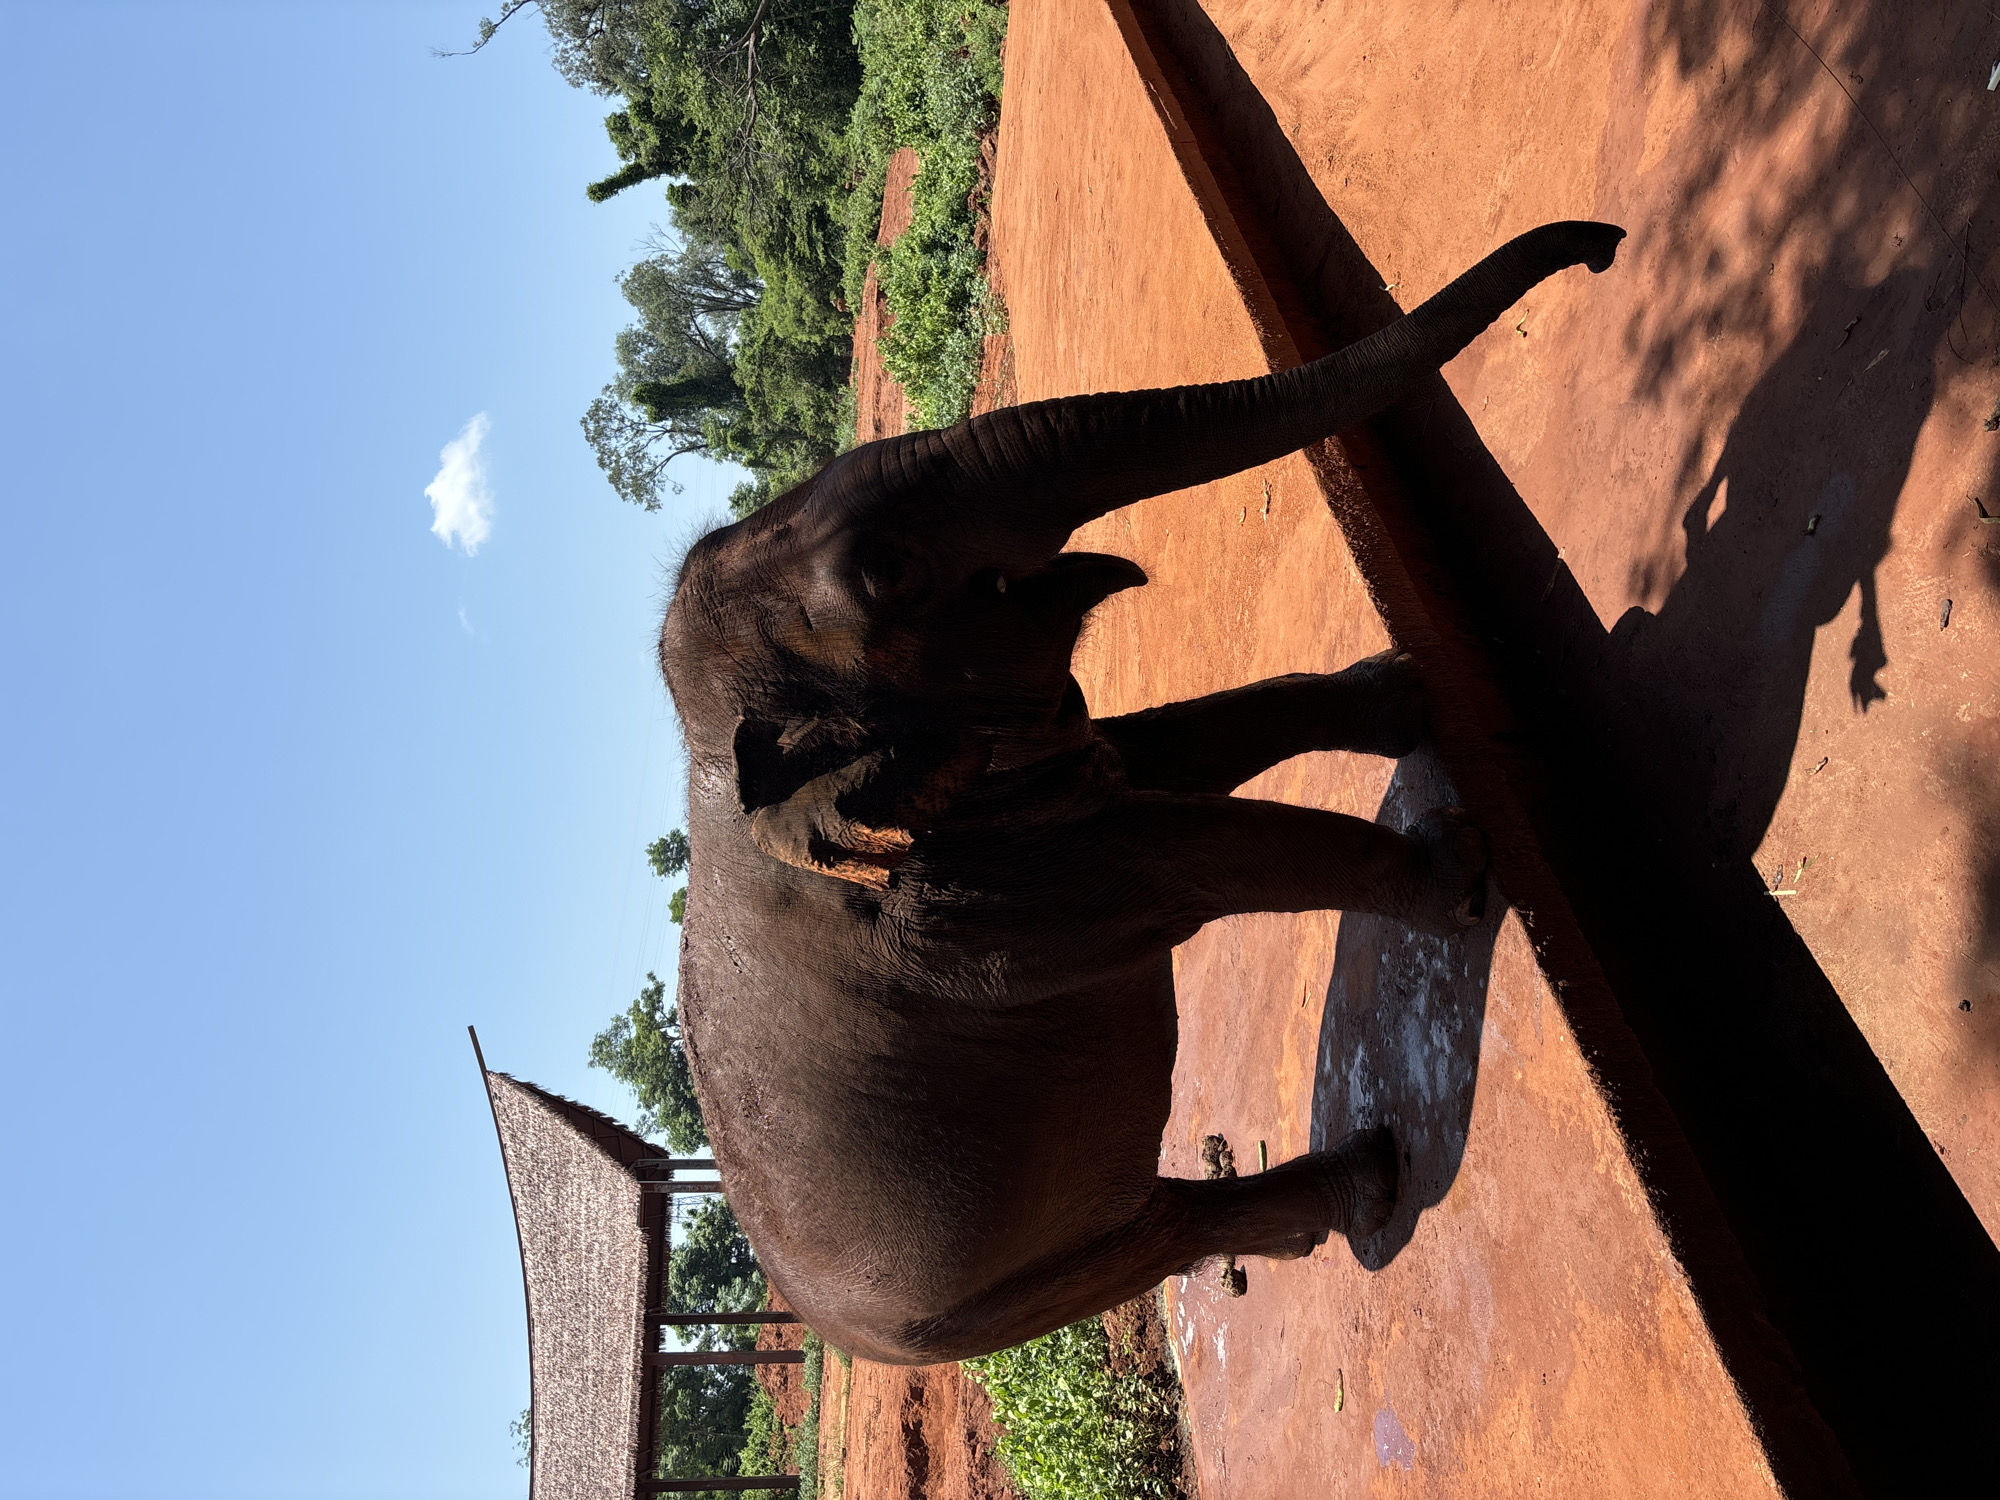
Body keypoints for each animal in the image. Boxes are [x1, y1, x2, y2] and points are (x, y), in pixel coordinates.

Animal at [662, 220, 1625, 1363]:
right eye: (886, 574)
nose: (1604, 249)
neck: (714, 762)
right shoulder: (965, 909)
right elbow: (1191, 856)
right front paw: (1459, 869)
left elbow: (1167, 751)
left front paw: (1404, 690)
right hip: (982, 1304)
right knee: (1158, 1235)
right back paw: (1369, 1187)